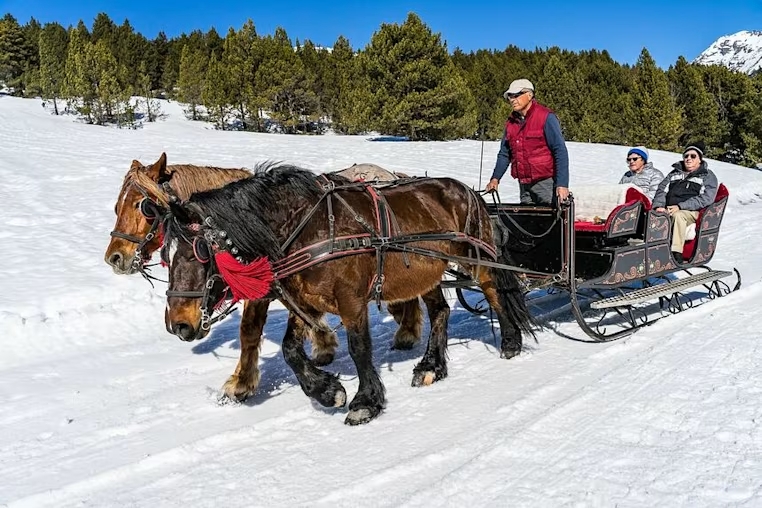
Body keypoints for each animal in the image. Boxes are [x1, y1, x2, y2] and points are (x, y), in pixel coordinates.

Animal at [104, 154, 424, 400]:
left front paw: (241, 384)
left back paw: (407, 330)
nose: (114, 257)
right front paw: (323, 347)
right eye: (117, 206)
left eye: (143, 206)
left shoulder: (261, 292)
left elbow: (249, 330)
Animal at [157, 163, 532, 424]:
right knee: (441, 311)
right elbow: (290, 349)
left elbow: (359, 347)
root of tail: (467, 190)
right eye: (167, 255)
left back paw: (510, 341)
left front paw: (365, 402)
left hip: (476, 258)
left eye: (199, 254)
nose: (179, 325)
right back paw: (431, 367)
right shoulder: (304, 300)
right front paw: (327, 391)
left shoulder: (351, 300)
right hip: (428, 273)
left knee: (494, 291)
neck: (305, 228)